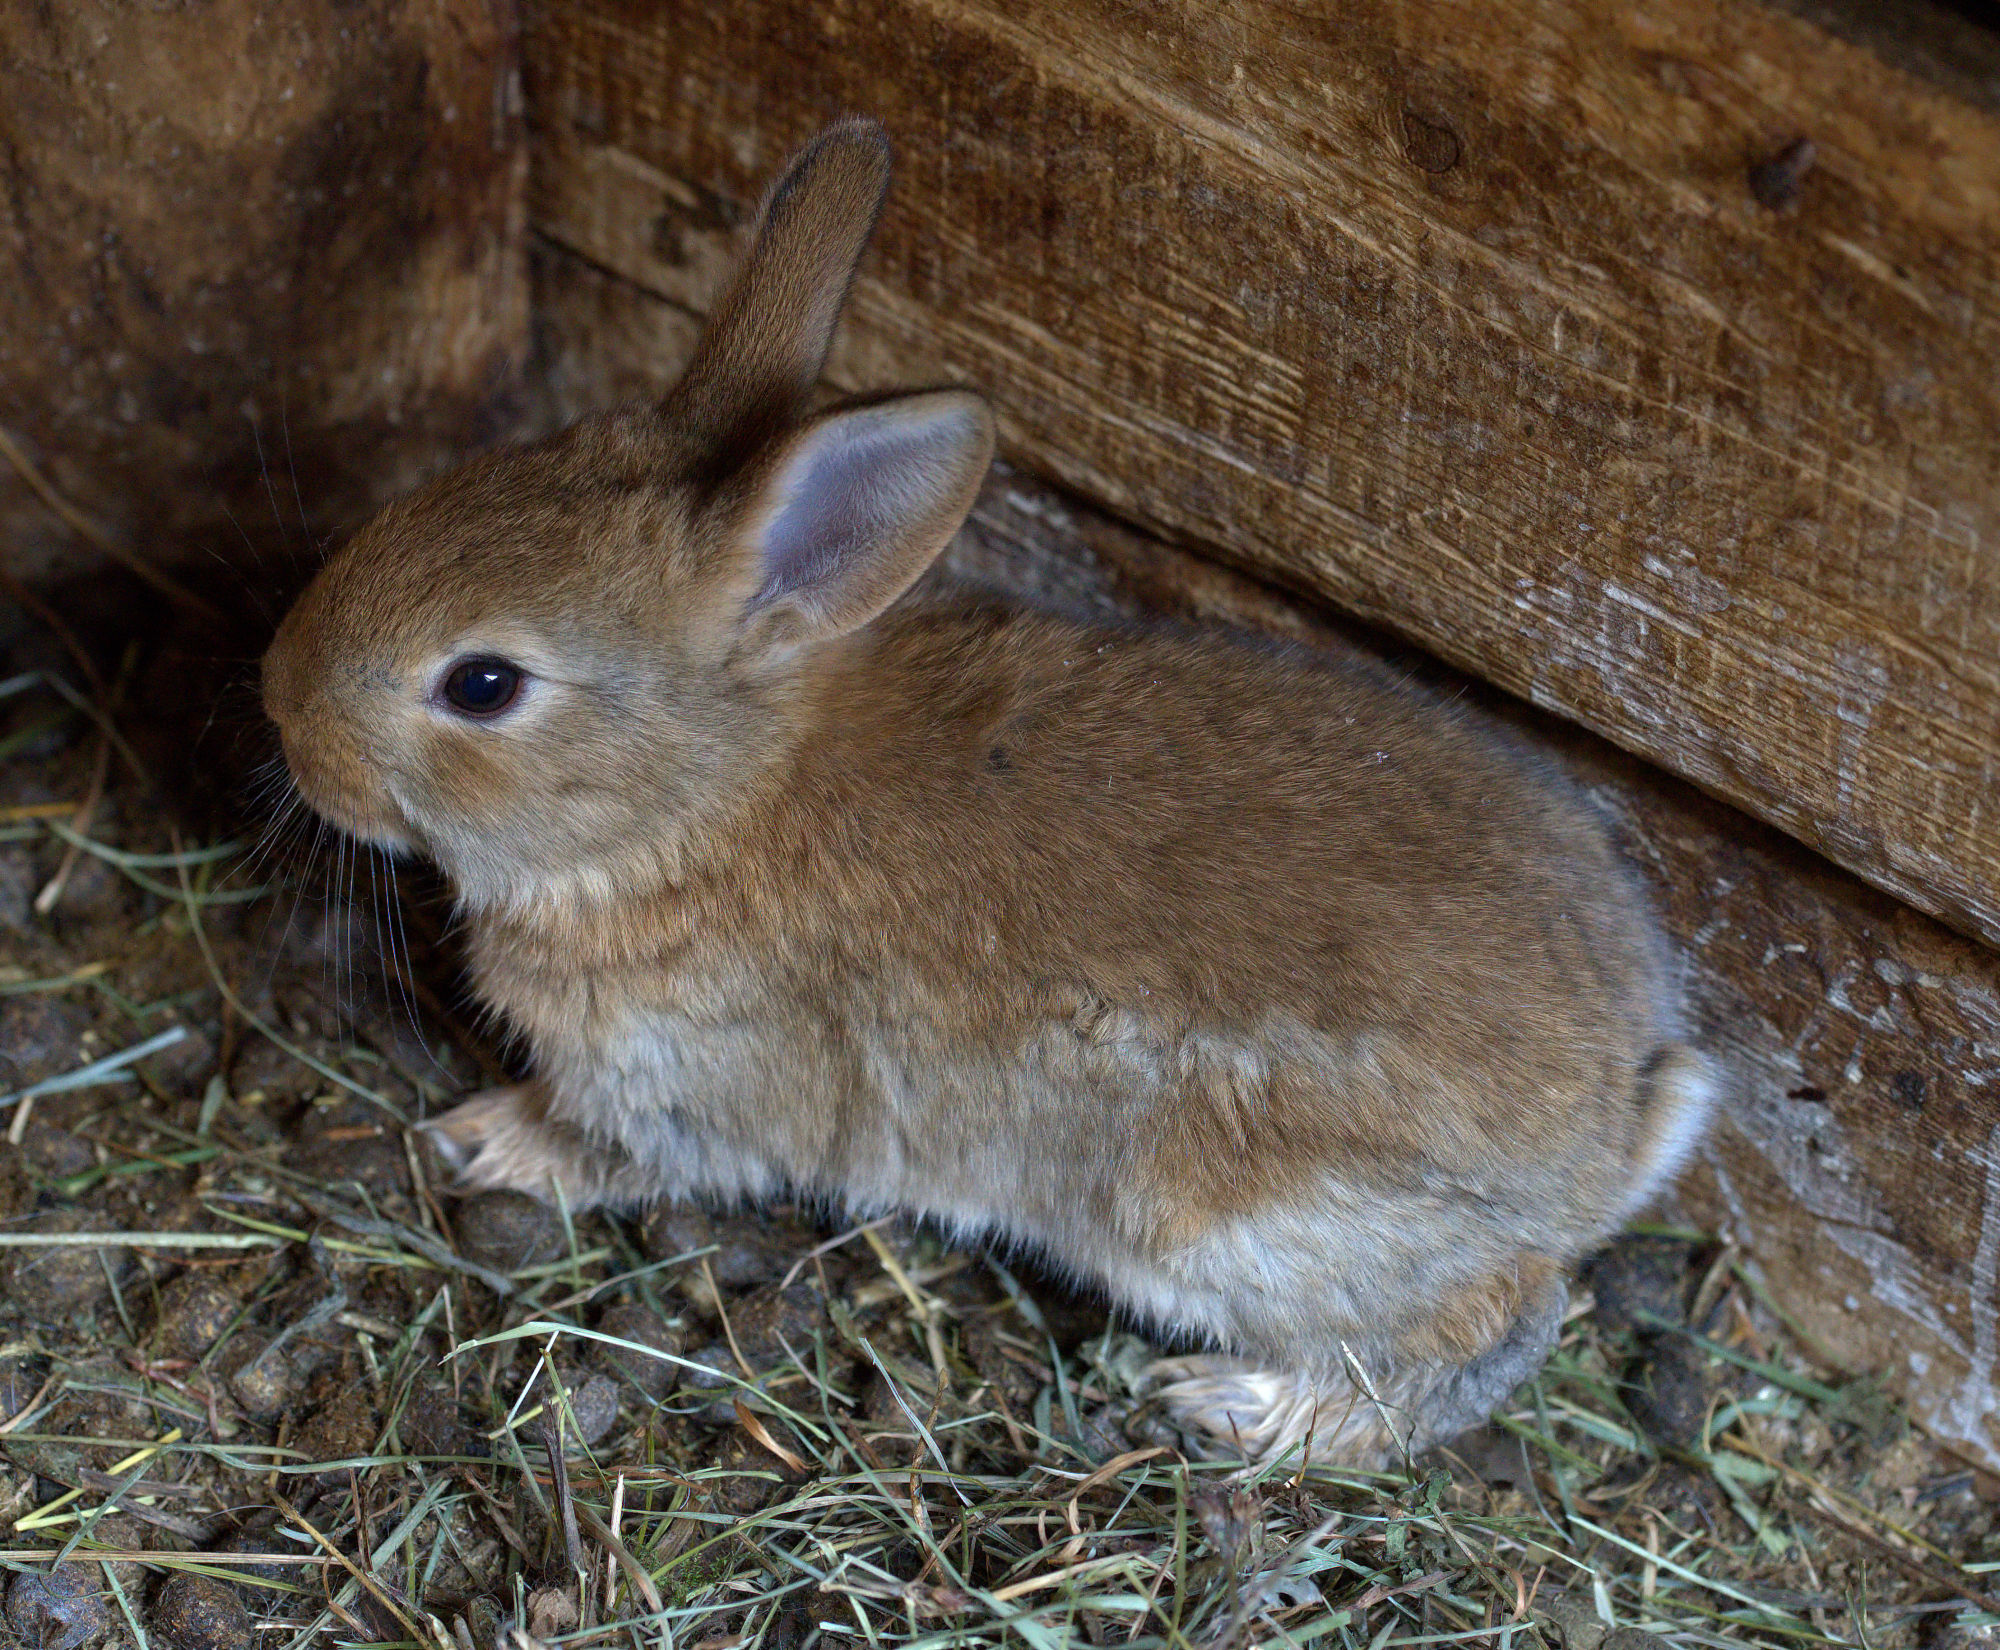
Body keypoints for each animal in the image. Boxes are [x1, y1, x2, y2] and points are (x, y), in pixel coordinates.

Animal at [261, 118, 1715, 1466]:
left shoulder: (687, 1085)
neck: (707, 799)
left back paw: (1248, 1407)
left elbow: (615, 1151)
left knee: (1496, 1328)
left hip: (1227, 1215)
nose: (281, 706)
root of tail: (1629, 1109)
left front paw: (483, 1139)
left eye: (483, 685)